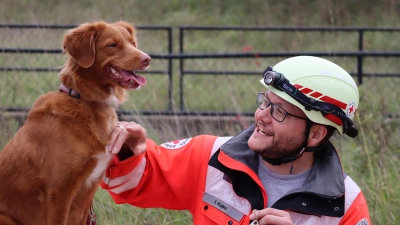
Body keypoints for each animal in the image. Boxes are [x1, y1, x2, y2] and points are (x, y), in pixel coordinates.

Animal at [0, 20, 151, 224]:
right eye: (112, 45)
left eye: (132, 43)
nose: (147, 59)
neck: (85, 101)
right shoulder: (59, 192)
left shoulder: (87, 194)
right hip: (6, 218)